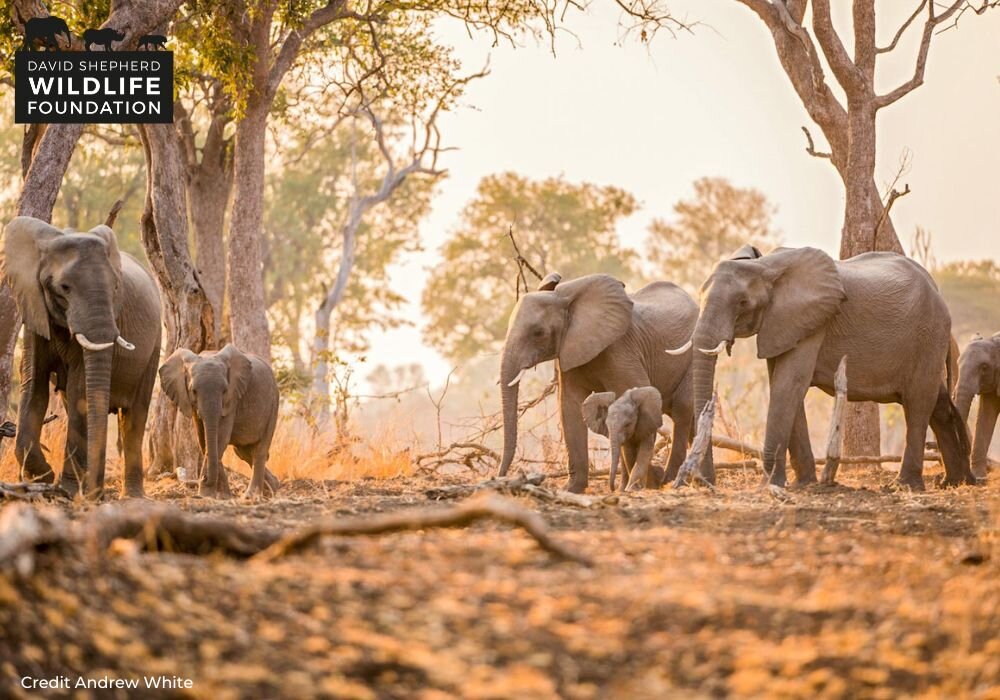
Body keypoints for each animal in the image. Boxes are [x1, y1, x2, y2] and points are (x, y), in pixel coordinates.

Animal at [1, 216, 162, 498]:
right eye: (64, 288)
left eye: (116, 287)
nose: (94, 494)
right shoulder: (34, 312)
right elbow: (34, 386)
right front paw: (42, 478)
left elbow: (80, 388)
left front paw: (64, 489)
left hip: (155, 347)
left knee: (135, 416)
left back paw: (129, 495)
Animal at [159, 344, 280, 500]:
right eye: (193, 391)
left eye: (224, 390)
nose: (203, 478)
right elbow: (203, 440)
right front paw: (222, 495)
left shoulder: (232, 399)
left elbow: (220, 439)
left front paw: (207, 494)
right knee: (244, 452)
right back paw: (272, 489)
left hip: (273, 405)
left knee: (260, 450)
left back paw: (251, 496)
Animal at [498, 272, 697, 493]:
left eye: (538, 332)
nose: (500, 476)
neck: (566, 301)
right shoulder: (568, 354)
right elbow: (569, 407)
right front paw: (571, 489)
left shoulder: (620, 350)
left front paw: (641, 483)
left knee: (682, 409)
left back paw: (670, 480)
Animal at [685, 245, 975, 490]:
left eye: (743, 303)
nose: (704, 482)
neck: (765, 265)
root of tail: (936, 289)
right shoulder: (782, 324)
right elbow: (782, 384)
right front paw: (803, 485)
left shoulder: (812, 321)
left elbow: (788, 384)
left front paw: (769, 486)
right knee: (939, 404)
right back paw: (954, 482)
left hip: (929, 334)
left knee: (918, 402)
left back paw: (906, 486)